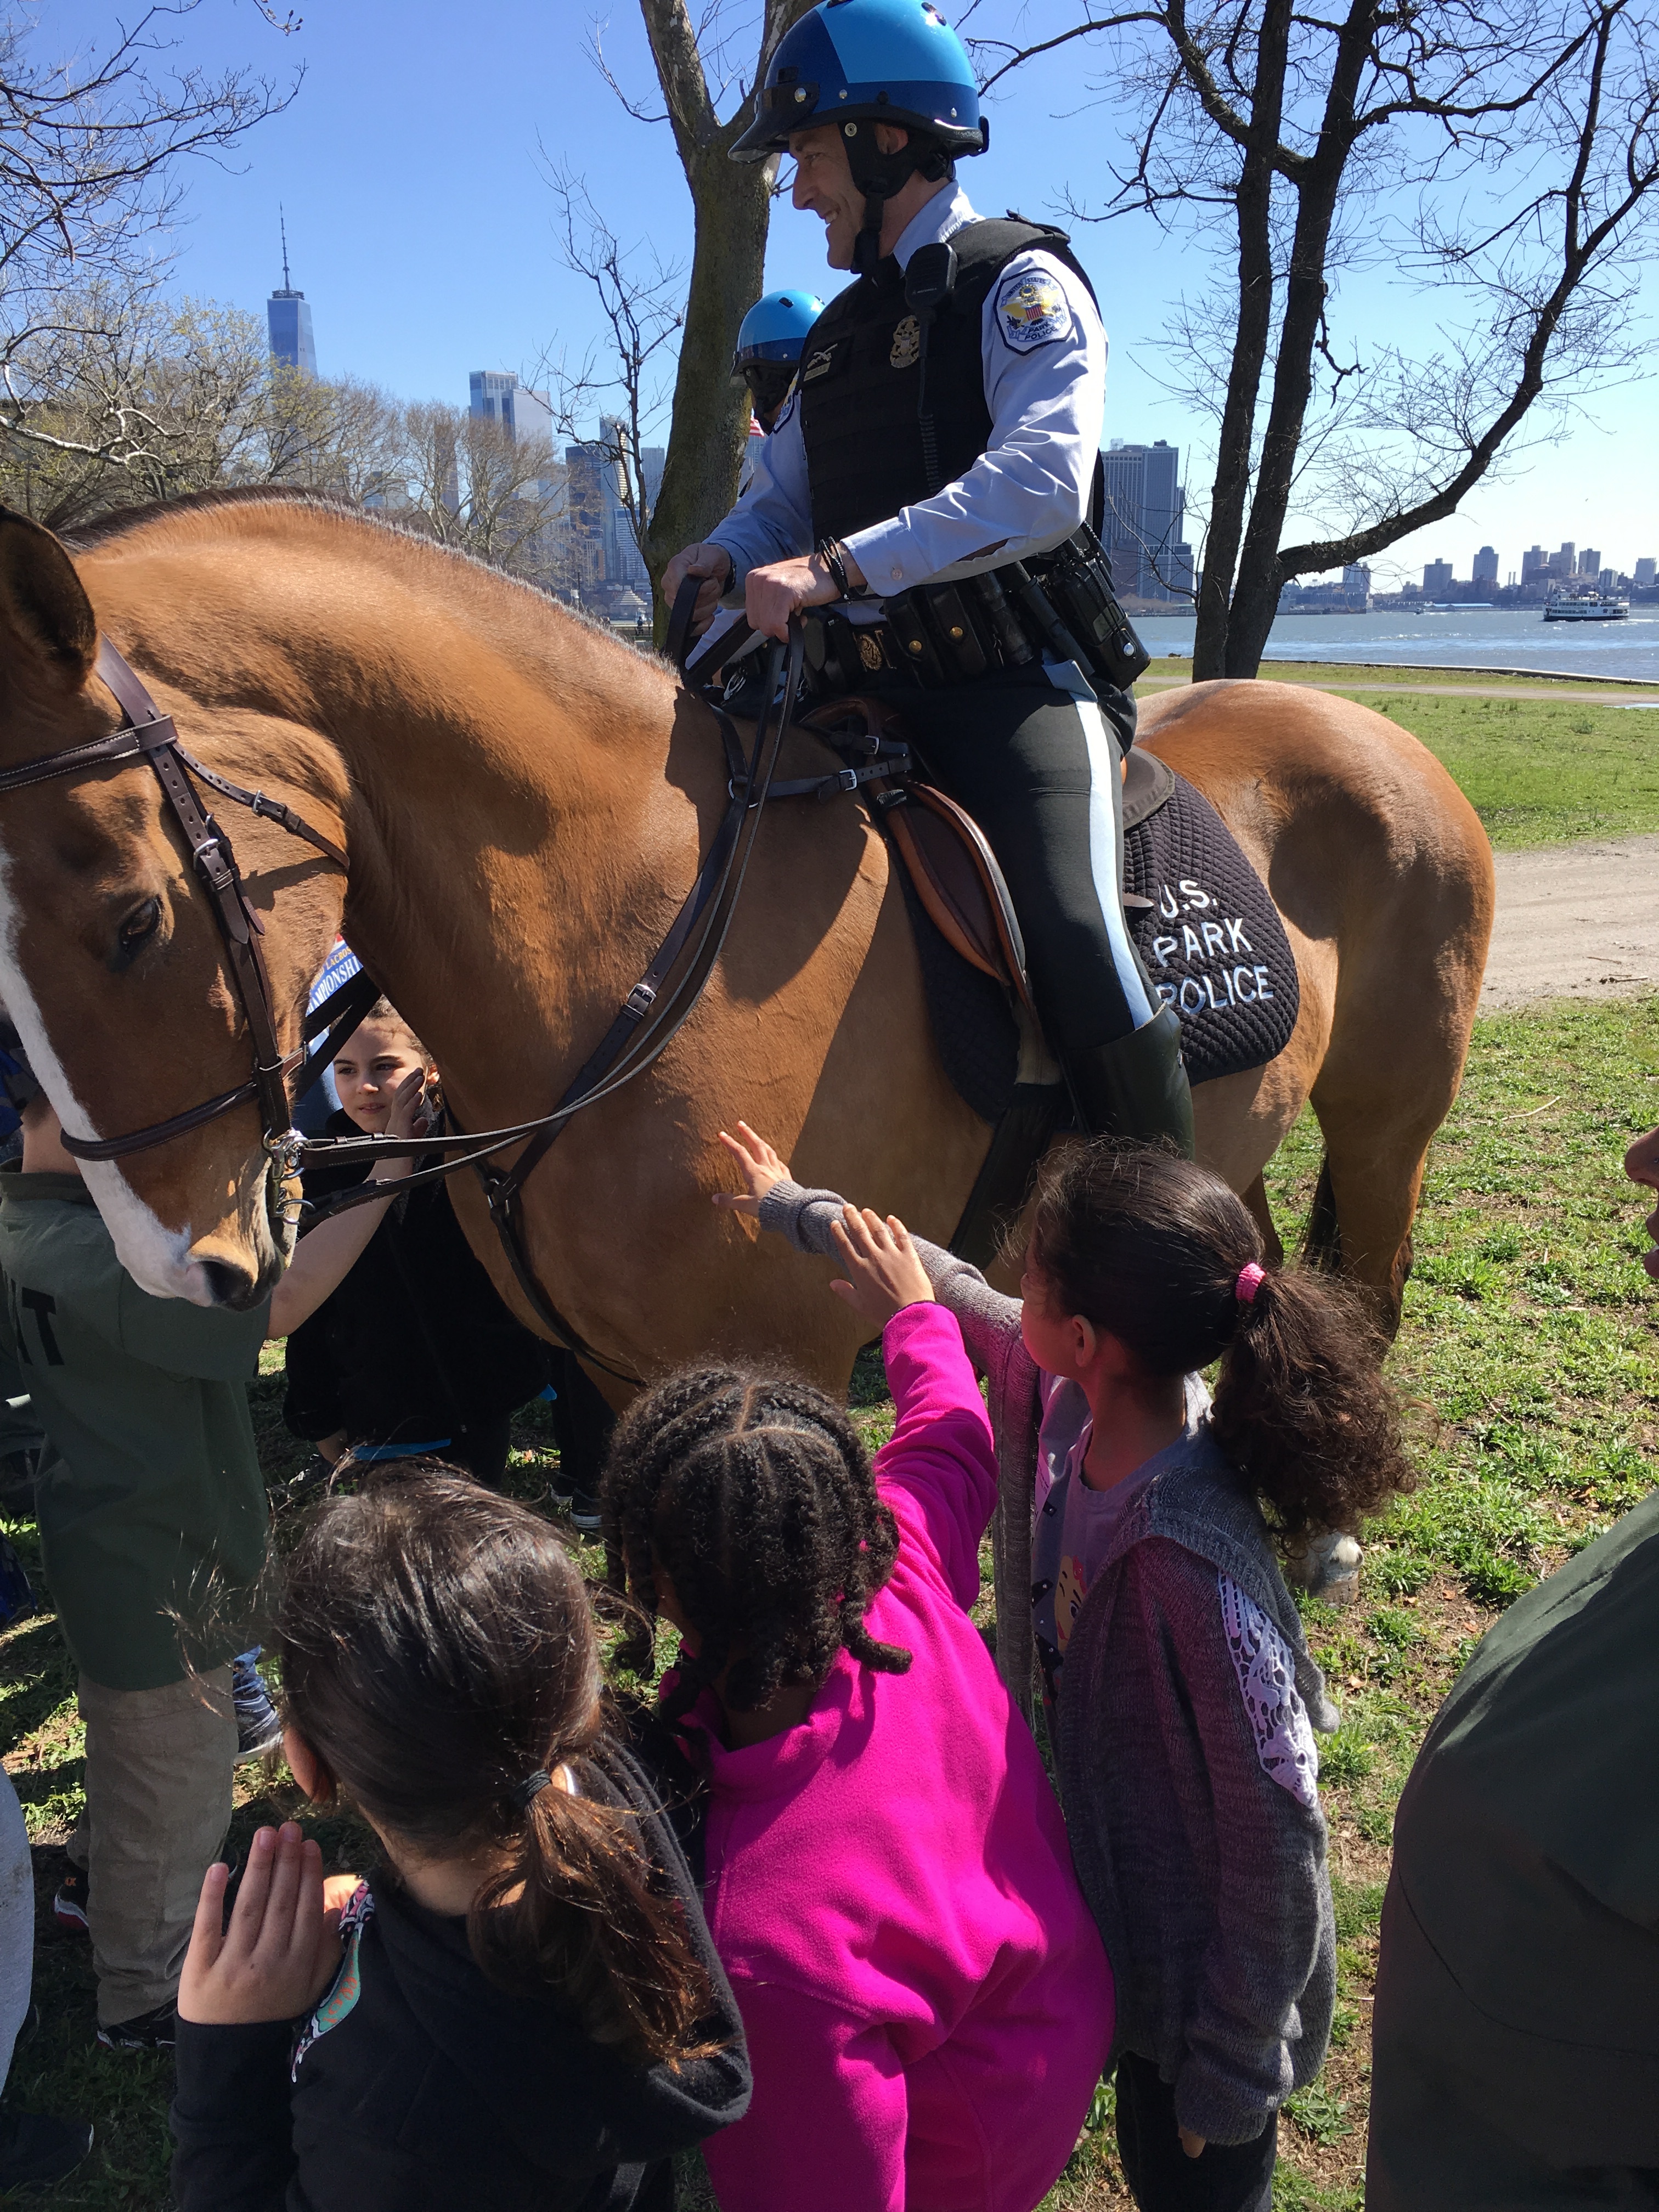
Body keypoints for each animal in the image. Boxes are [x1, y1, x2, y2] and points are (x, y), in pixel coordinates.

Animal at [0, 498, 1495, 1380]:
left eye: (134, 918)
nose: (178, 1269)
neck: (629, 943)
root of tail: (1378, 736)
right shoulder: (617, 1375)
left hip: (1387, 1129)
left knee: (1368, 1288)